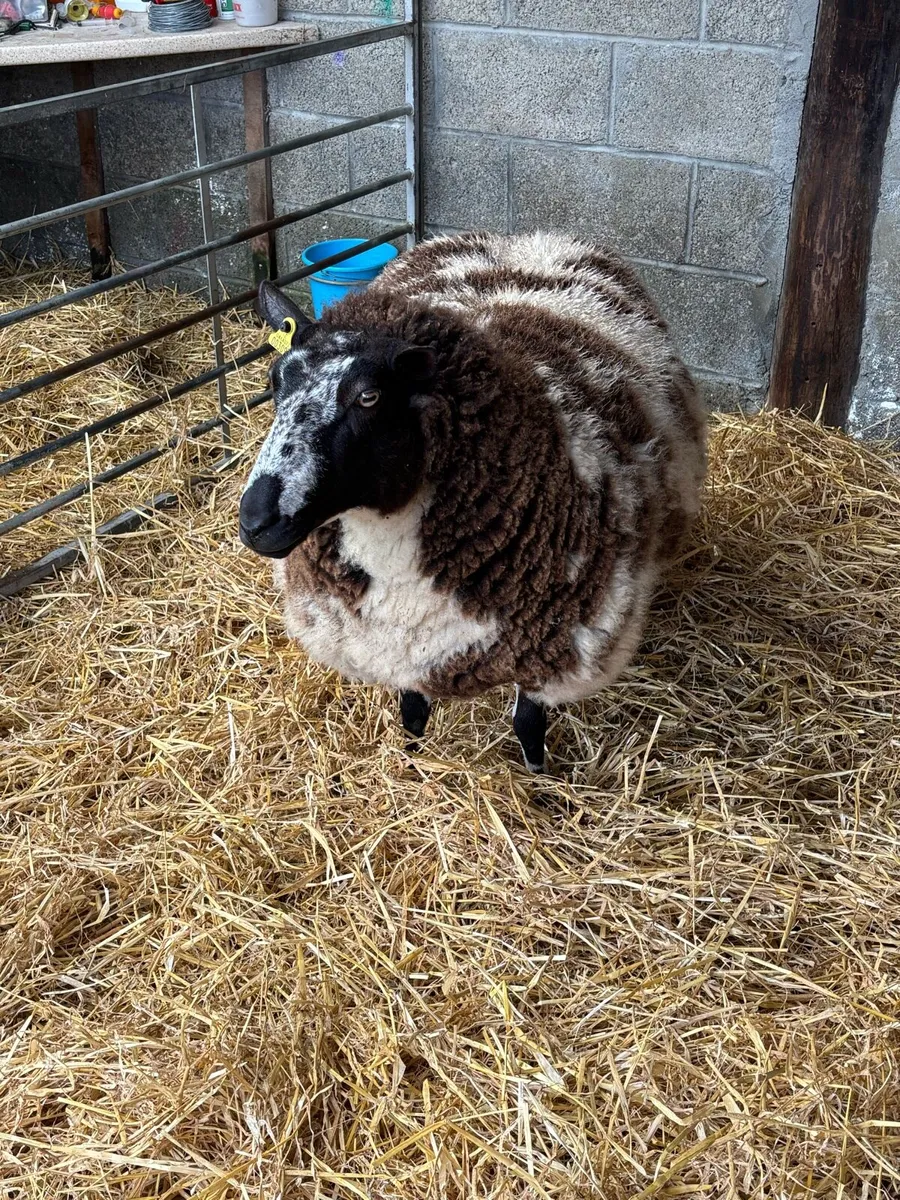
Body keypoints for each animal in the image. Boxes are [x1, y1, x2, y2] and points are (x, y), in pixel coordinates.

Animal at [239, 231, 707, 772]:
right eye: (275, 382)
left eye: (369, 397)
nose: (255, 520)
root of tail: (526, 238)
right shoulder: (398, 645)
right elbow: (413, 711)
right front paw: (413, 764)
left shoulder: (553, 644)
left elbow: (528, 725)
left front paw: (538, 781)